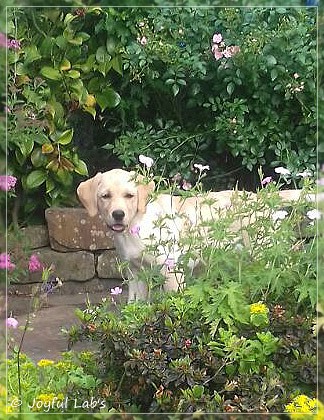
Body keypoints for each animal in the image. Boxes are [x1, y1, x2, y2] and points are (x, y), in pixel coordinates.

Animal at [76, 168, 312, 302]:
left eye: (129, 195)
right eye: (105, 196)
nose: (118, 214)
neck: (136, 225)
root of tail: (260, 197)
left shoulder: (171, 271)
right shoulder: (135, 275)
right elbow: (134, 307)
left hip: (265, 252)